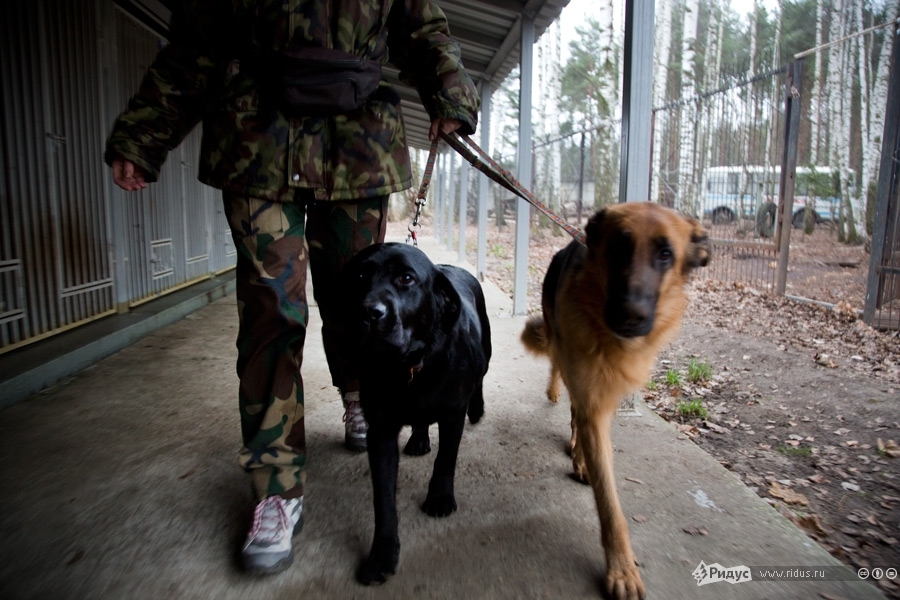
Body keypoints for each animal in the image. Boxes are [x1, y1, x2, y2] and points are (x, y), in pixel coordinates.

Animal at [338, 241, 492, 584]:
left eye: (406, 278)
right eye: (359, 276)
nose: (369, 313)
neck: (408, 366)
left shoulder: (452, 415)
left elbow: (445, 461)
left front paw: (439, 498)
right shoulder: (380, 431)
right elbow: (383, 499)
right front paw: (382, 554)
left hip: (485, 354)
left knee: (480, 380)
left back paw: (478, 408)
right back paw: (419, 439)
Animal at [520, 203, 712, 600]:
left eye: (665, 254)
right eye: (618, 249)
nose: (630, 314)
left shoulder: (597, 401)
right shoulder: (590, 397)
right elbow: (609, 504)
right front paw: (621, 569)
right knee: (560, 374)